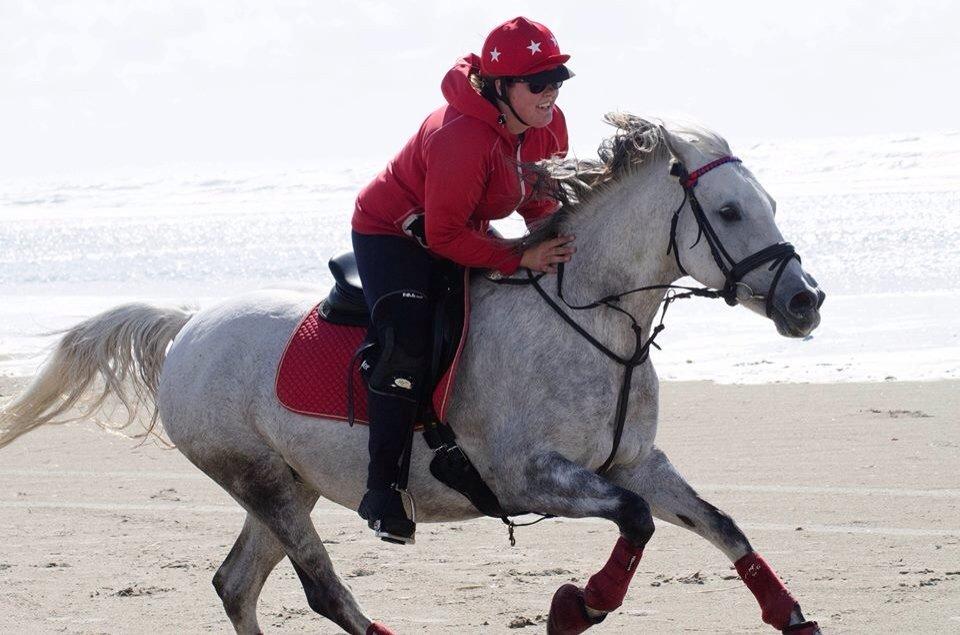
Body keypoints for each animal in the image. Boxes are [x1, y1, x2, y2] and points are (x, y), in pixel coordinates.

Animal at [0, 117, 824, 632]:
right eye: (729, 211)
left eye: (768, 204)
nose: (805, 300)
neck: (590, 318)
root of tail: (188, 326)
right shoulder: (534, 477)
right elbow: (638, 520)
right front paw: (577, 606)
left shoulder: (634, 461)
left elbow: (719, 524)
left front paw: (790, 615)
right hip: (257, 477)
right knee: (321, 587)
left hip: (286, 482)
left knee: (236, 584)